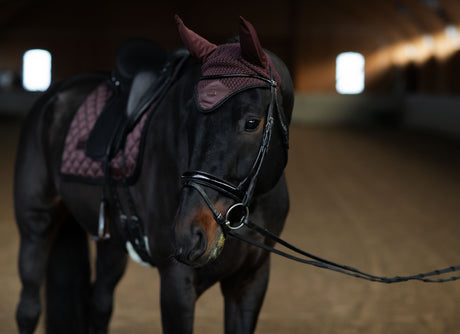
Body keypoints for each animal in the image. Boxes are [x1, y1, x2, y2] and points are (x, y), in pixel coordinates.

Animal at [17, 16, 294, 334]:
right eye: (190, 119)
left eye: (251, 122)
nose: (189, 236)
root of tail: (54, 95)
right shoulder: (176, 282)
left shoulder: (251, 279)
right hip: (36, 227)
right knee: (28, 309)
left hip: (112, 242)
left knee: (99, 303)